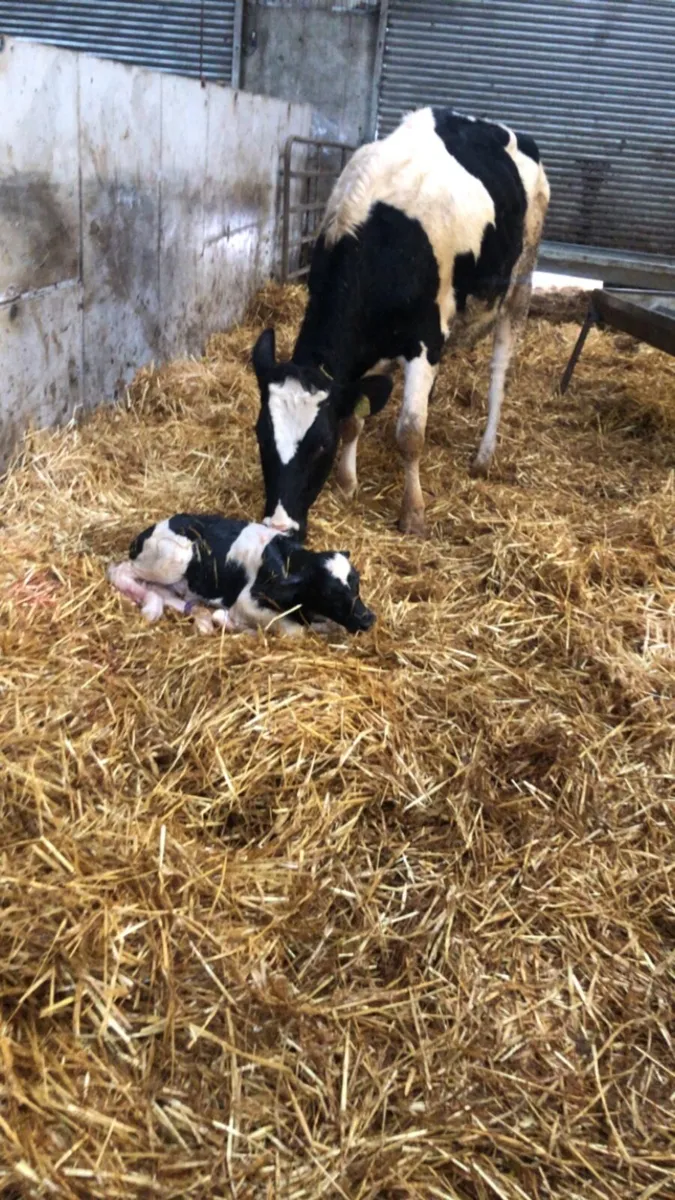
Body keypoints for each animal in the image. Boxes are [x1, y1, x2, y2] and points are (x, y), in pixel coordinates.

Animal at [107, 513, 376, 636]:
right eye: (329, 592)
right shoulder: (246, 601)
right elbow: (294, 631)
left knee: (164, 592)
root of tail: (142, 535)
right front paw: (238, 625)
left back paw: (200, 618)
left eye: (357, 584)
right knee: (119, 571)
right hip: (172, 559)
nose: (368, 619)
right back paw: (151, 610)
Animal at [252, 106, 550, 538]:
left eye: (320, 444)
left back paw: (484, 454)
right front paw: (347, 482)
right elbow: (355, 417)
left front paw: (413, 513)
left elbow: (410, 433)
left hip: (519, 284)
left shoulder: (424, 339)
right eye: (261, 435)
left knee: (499, 373)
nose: (277, 526)